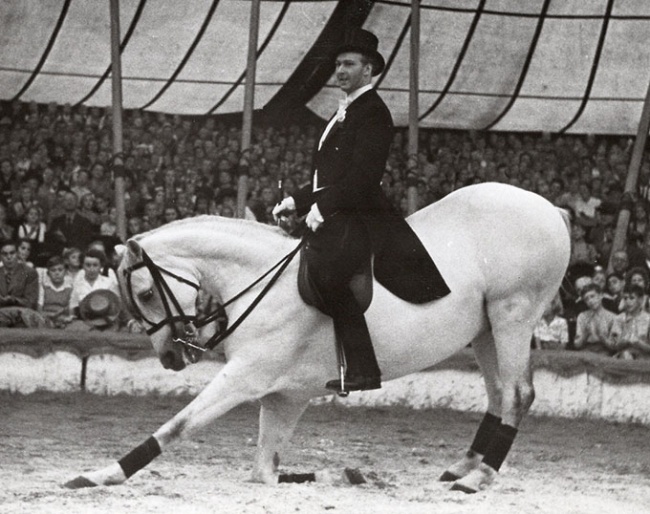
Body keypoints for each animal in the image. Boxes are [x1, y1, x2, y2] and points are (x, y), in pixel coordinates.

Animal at [64, 183, 568, 492]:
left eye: (147, 294)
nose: (170, 356)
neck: (263, 281)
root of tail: (549, 208)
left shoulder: (246, 376)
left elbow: (178, 424)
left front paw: (100, 474)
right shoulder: (285, 396)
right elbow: (264, 472)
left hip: (512, 314)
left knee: (518, 393)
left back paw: (478, 478)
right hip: (485, 330)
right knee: (499, 394)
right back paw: (465, 466)